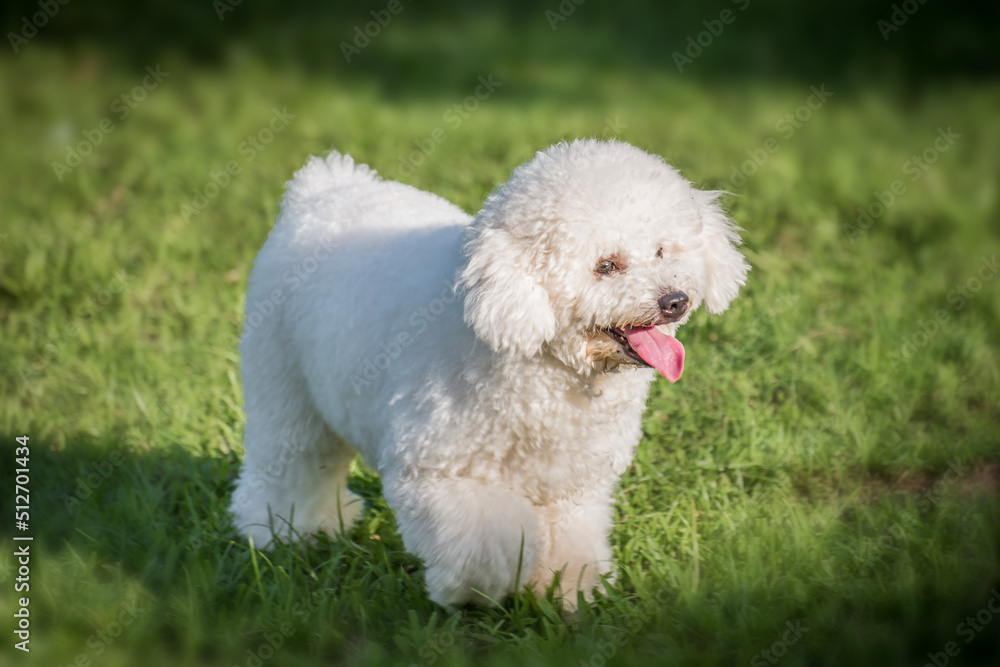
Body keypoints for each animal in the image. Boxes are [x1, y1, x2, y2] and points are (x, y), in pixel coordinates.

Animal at [230, 141, 748, 612]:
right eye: (606, 265)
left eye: (662, 251)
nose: (675, 300)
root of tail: (324, 190)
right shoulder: (437, 473)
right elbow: (490, 550)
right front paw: (467, 591)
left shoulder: (573, 482)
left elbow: (571, 539)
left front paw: (568, 592)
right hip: (284, 388)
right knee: (292, 463)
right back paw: (284, 531)